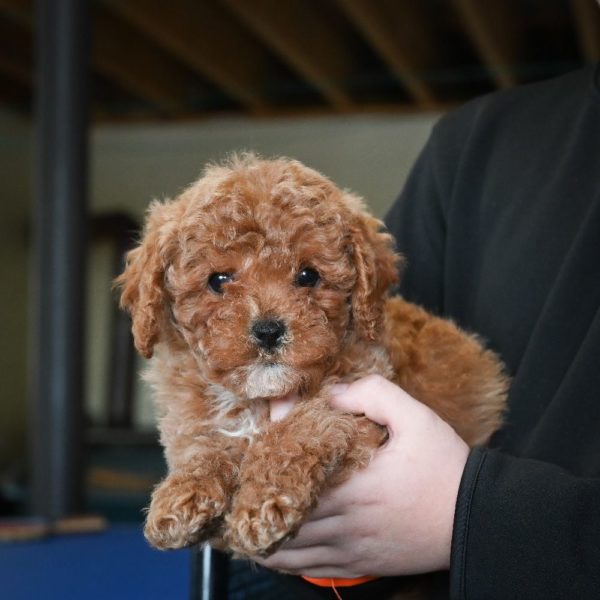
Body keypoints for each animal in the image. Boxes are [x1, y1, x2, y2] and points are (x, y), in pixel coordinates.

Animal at [116, 154, 506, 564]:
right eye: (218, 280)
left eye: (308, 275)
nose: (268, 330)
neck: (256, 399)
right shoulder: (192, 417)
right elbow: (203, 446)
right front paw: (183, 494)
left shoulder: (357, 401)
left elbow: (298, 429)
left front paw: (263, 505)